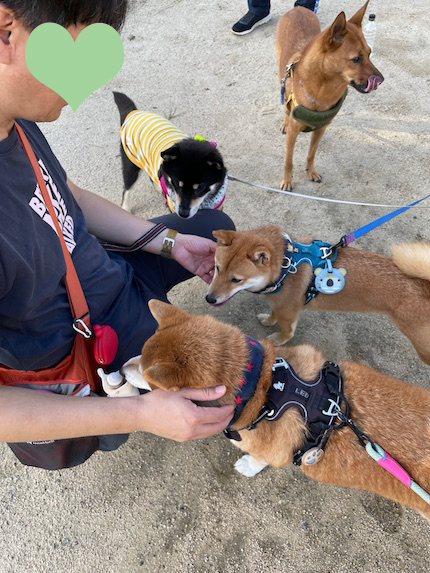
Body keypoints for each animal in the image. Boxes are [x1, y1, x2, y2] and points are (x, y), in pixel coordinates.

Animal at [139, 302, 430, 520]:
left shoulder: (273, 452)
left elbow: (259, 460)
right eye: (139, 359)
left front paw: (248, 465)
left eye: (144, 373)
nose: (127, 366)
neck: (263, 387)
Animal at [205, 226, 430, 364]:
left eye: (236, 280)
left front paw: (277, 339)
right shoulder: (279, 304)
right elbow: (273, 314)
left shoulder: (289, 314)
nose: (210, 299)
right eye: (217, 268)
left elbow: (287, 333)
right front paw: (268, 320)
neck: (286, 267)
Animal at [278, 2, 384, 190]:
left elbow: (311, 154)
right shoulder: (292, 133)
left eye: (370, 53)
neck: (323, 89)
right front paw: (287, 180)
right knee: (285, 104)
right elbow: (288, 161)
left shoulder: (321, 129)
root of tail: (298, 8)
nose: (381, 80)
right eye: (356, 59)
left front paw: (311, 172)